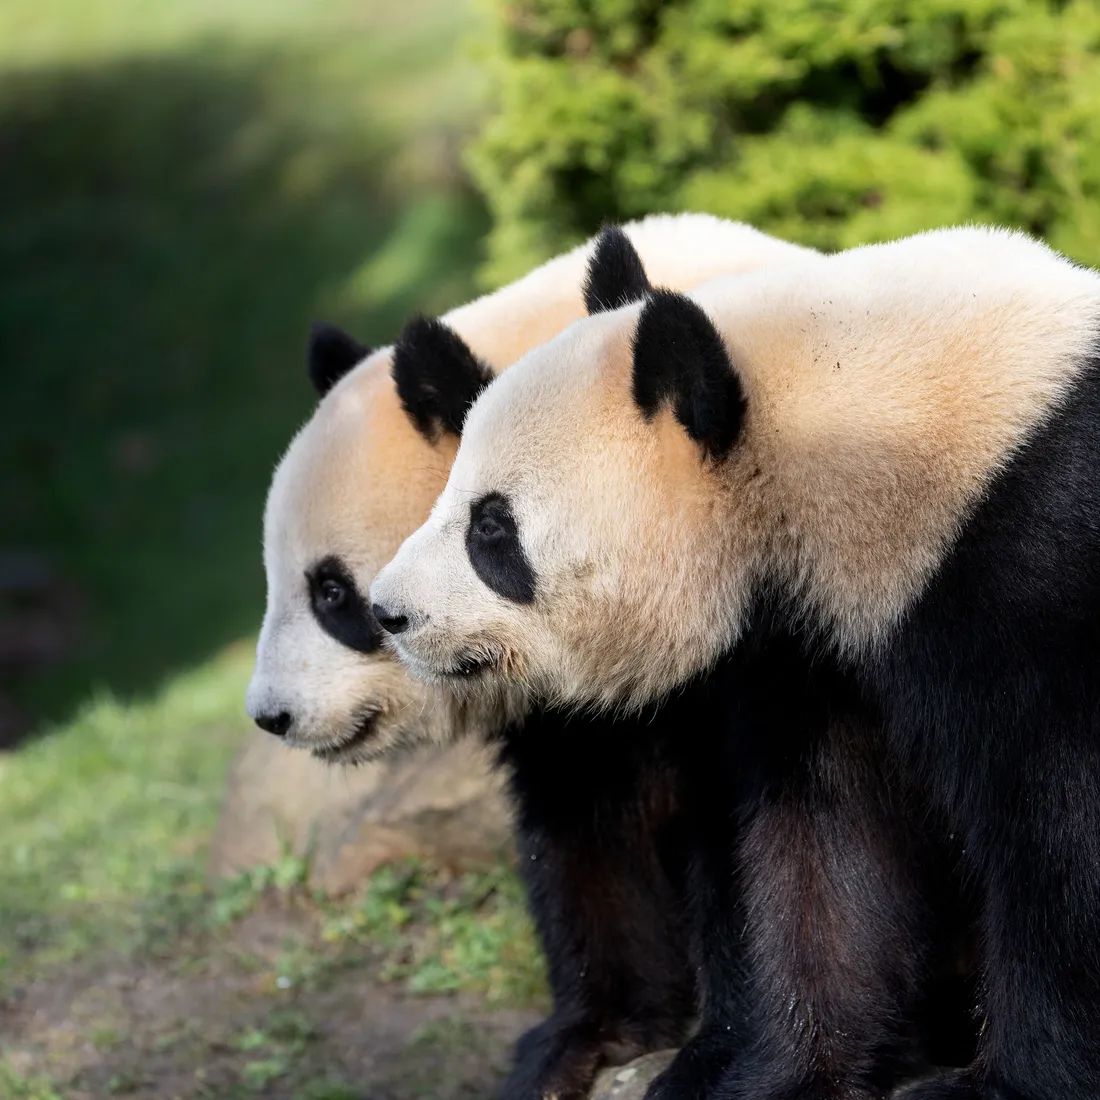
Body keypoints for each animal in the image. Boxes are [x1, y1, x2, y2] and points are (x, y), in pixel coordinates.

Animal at [245, 215, 829, 1100]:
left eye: (333, 595)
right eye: (279, 579)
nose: (272, 715)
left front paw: (718, 1048)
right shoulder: (562, 706)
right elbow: (583, 831)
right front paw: (586, 1038)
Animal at [370, 225, 1100, 1100]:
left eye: (490, 528)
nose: (389, 612)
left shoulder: (1030, 571)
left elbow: (1062, 832)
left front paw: (1007, 1082)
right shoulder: (817, 646)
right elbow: (823, 844)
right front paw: (793, 1073)